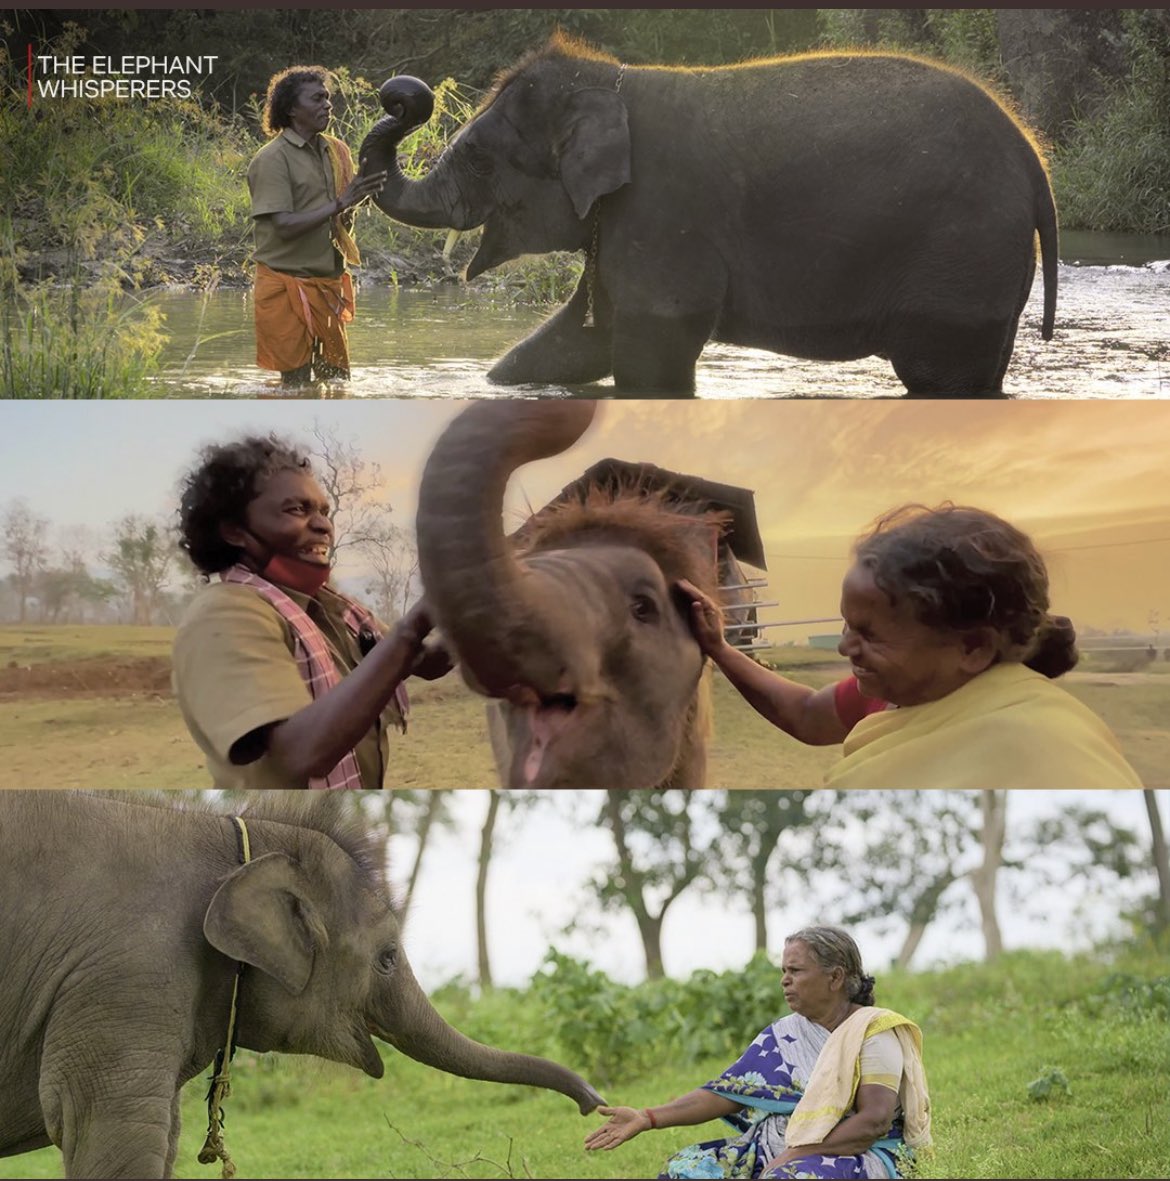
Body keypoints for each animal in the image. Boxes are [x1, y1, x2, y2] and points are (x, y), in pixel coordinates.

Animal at [0, 791, 603, 1179]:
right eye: (387, 959)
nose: (594, 1107)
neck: (232, 832)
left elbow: (161, 1132)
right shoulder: (128, 973)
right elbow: (113, 1126)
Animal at [358, 35, 1058, 397]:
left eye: (478, 158)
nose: (402, 96)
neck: (615, 83)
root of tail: (1033, 160)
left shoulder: (664, 212)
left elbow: (652, 350)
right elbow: (578, 340)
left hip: (961, 255)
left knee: (939, 374)